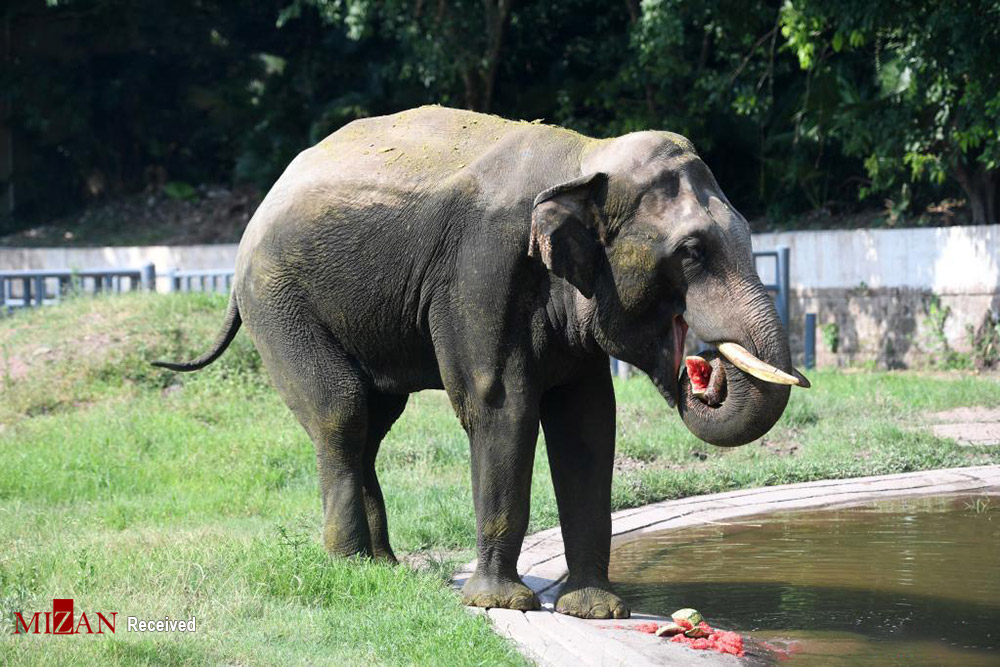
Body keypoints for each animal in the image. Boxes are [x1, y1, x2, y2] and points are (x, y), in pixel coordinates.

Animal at [158, 105, 812, 620]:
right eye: (692, 251)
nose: (705, 371)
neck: (586, 158)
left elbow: (588, 423)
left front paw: (595, 610)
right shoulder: (483, 268)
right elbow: (500, 405)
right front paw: (502, 604)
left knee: (374, 420)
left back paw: (383, 568)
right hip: (279, 302)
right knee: (341, 412)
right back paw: (350, 569)